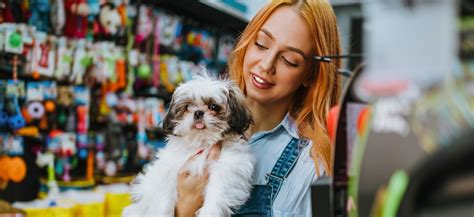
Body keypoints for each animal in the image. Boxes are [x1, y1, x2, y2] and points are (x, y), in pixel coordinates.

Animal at [122, 75, 256, 217]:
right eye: (187, 107)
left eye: (214, 106)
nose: (198, 112)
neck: (202, 142)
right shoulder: (170, 167)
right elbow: (164, 193)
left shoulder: (228, 166)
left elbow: (218, 189)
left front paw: (209, 211)